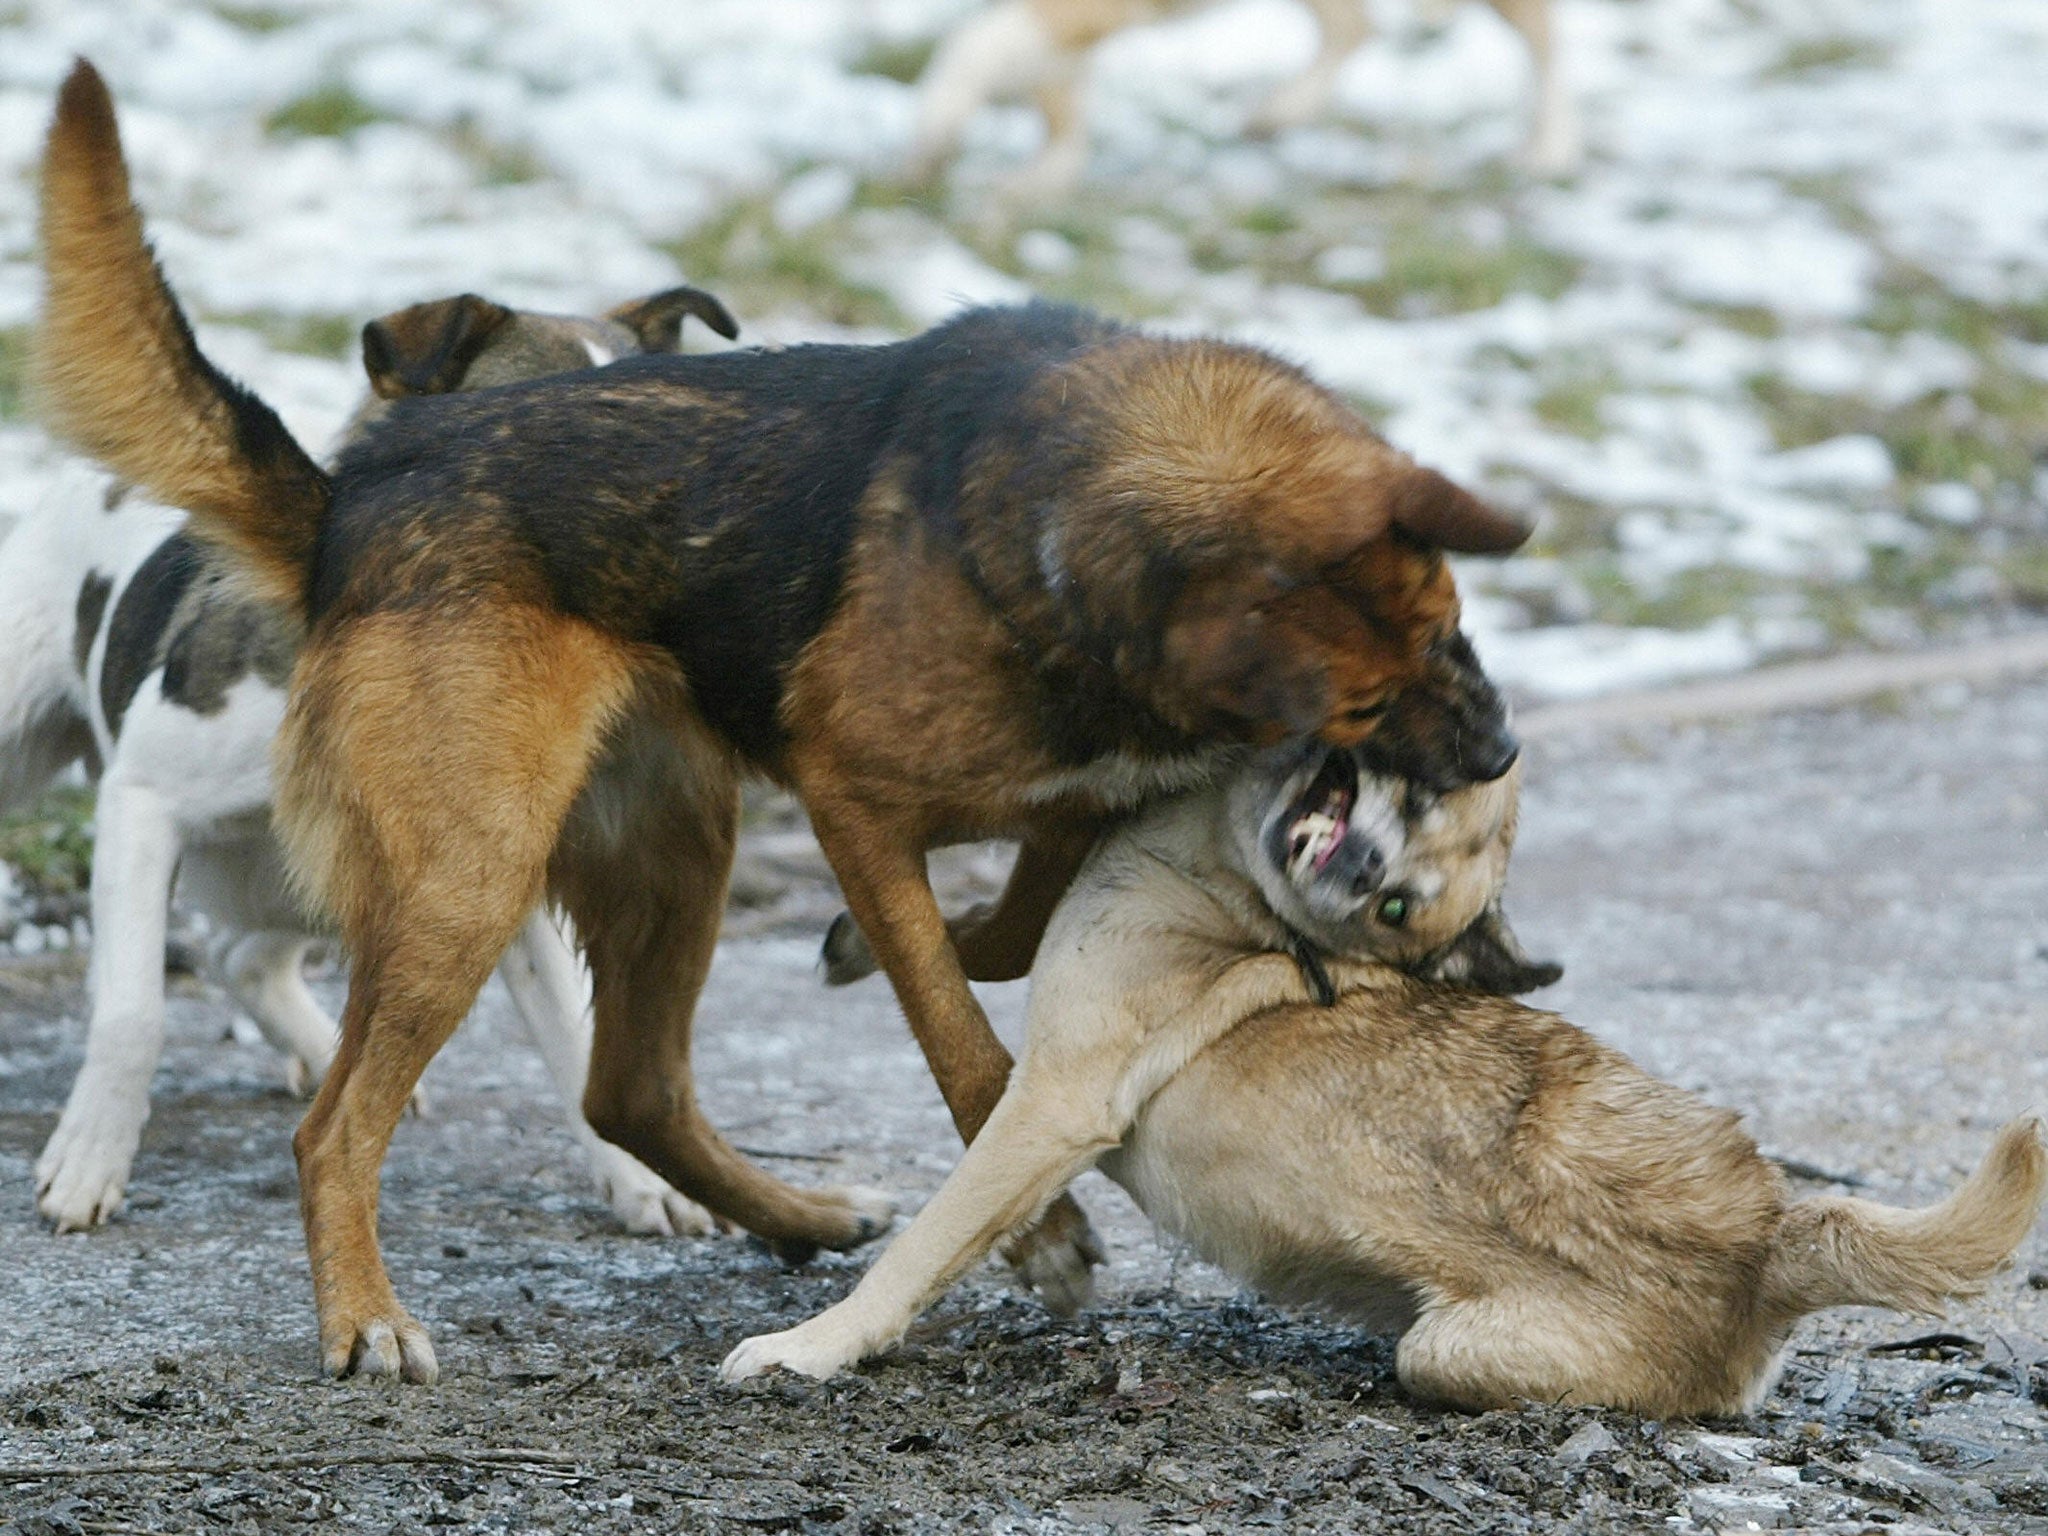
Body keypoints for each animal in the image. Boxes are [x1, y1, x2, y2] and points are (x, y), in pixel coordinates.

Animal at [0, 280, 737, 1236]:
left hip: (310, 881)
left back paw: (317, 1047)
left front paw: (644, 1177)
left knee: (244, 955)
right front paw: (90, 1157)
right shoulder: (143, 803)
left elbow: (578, 1042)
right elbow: (133, 1012)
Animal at [724, 749, 2048, 1417]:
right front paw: (849, 939)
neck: (1227, 885)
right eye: (1407, 796)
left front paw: (812, 1348)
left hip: (1446, 1353)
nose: (1360, 868)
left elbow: (920, 1247)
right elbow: (964, 934)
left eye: (1399, 905)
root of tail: (1769, 1234)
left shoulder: (1053, 1102)